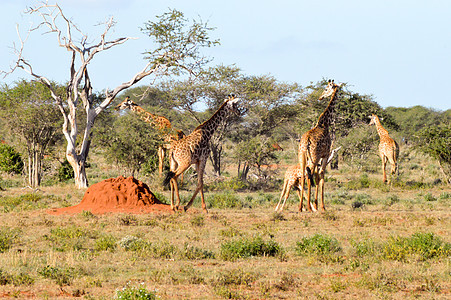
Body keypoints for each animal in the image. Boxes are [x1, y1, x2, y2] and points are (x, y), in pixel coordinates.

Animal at [298, 78, 344, 212]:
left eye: (325, 89)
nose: (320, 97)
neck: (325, 123)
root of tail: (306, 141)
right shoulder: (325, 154)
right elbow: (321, 175)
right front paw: (322, 206)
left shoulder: (320, 157)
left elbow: (317, 177)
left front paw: (316, 204)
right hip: (313, 158)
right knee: (309, 175)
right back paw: (308, 207)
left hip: (302, 157)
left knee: (303, 175)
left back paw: (301, 207)